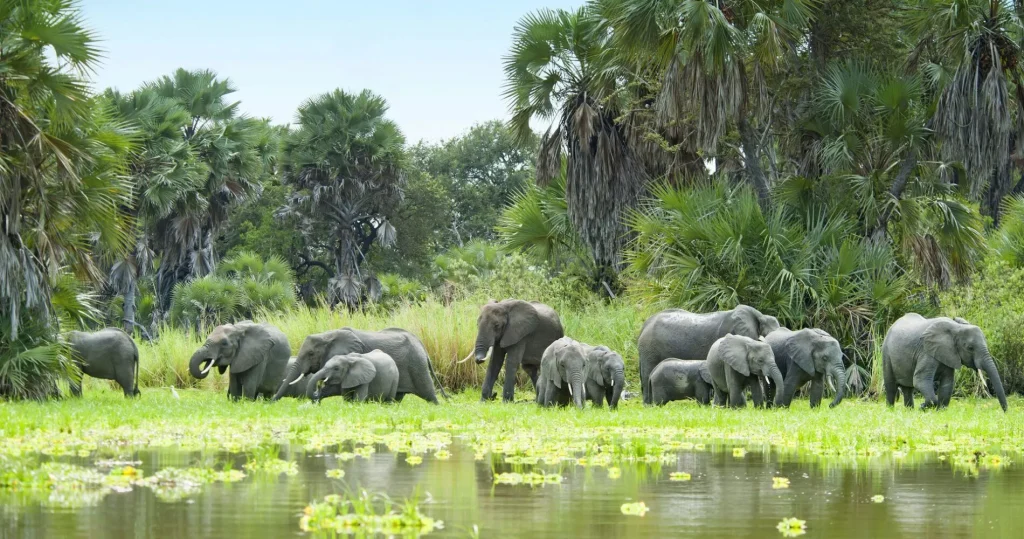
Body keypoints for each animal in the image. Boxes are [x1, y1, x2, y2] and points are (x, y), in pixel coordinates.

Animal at [272, 327, 444, 403]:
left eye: (311, 354)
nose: (272, 401)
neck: (328, 335)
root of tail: (421, 344)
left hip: (417, 365)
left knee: (428, 393)